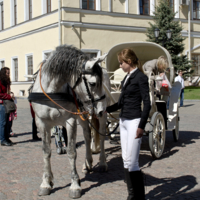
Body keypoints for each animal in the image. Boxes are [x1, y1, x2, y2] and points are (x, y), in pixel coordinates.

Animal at [29, 45, 109, 198]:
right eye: (92, 83)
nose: (101, 109)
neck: (52, 92)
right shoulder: (41, 123)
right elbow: (46, 152)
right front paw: (46, 182)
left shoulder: (70, 121)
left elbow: (71, 152)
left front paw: (75, 185)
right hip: (84, 114)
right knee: (87, 135)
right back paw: (88, 163)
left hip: (99, 117)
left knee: (101, 137)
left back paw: (102, 164)